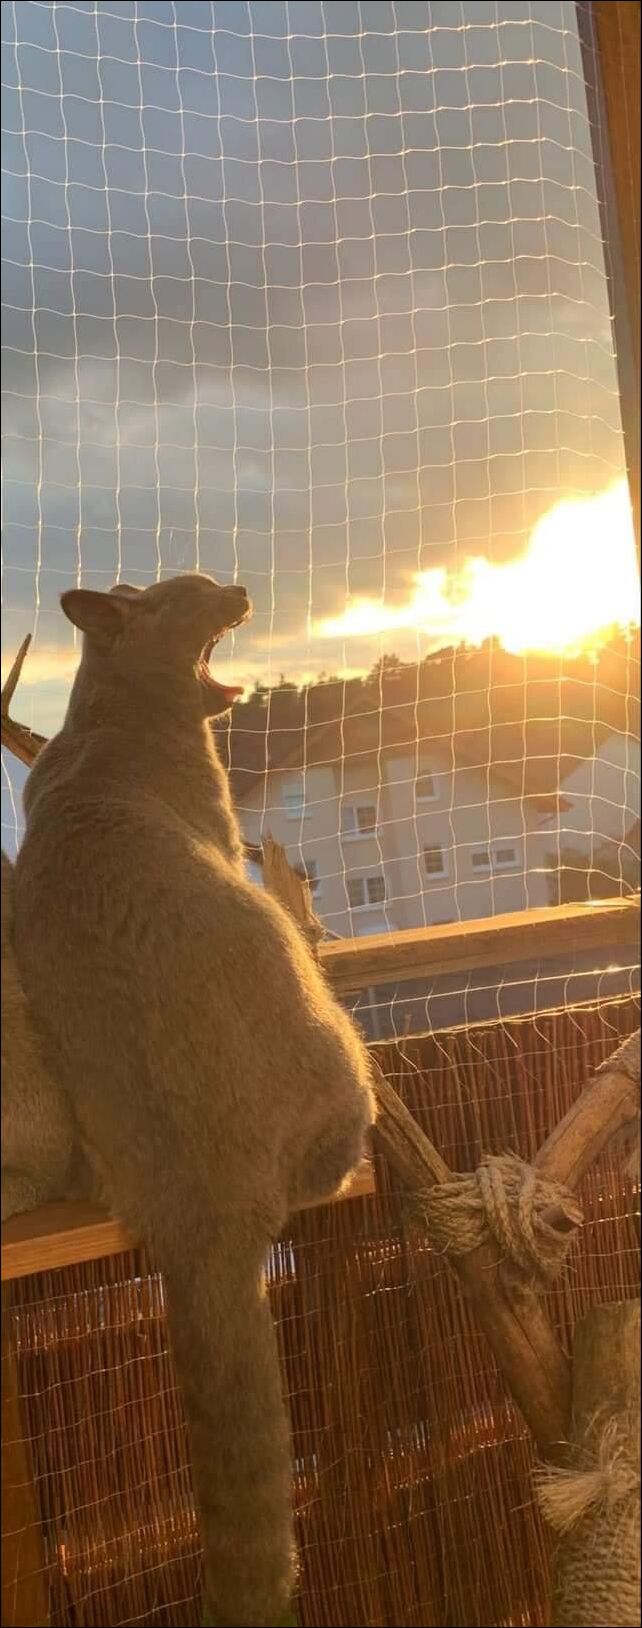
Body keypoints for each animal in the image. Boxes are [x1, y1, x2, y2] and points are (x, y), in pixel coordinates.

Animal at [13, 573, 376, 1628]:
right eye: (190, 594)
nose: (239, 587)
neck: (103, 722)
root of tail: (203, 1219)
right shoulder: (218, 826)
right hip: (332, 1035)